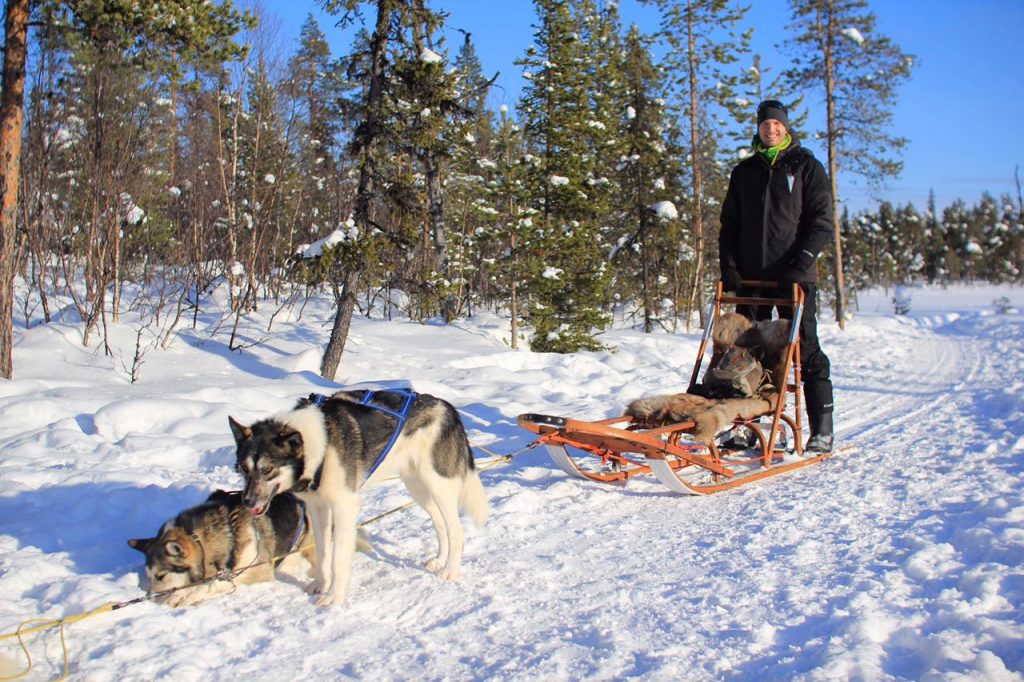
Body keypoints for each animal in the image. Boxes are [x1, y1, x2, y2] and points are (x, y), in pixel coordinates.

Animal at [128, 489, 311, 606]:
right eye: (149, 577)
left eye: (161, 575)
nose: (150, 599)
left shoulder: (256, 572)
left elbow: (217, 583)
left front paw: (189, 594)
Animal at [230, 387, 489, 606]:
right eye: (244, 468)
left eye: (267, 469)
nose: (247, 502)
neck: (318, 445)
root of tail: (448, 408)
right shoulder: (318, 509)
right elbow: (323, 552)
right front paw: (320, 585)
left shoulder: (344, 506)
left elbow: (338, 557)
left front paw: (333, 598)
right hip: (418, 488)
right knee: (440, 525)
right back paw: (439, 560)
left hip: (438, 485)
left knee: (456, 529)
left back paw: (451, 570)